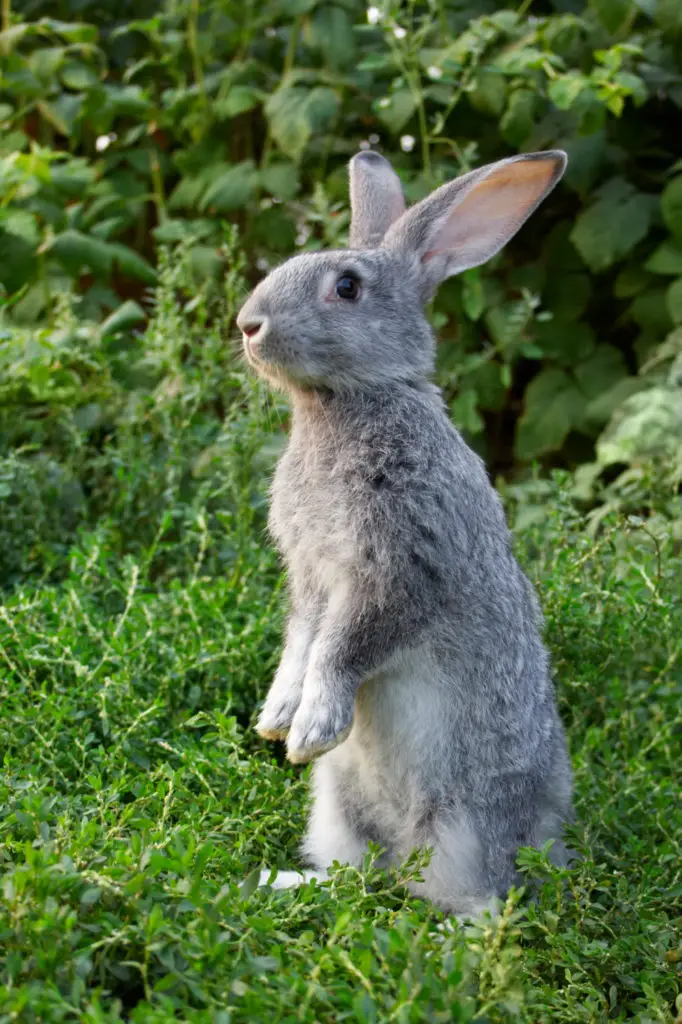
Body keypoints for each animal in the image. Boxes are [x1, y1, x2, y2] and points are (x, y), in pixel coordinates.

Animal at [236, 146, 569, 921]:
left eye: (347, 288)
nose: (247, 325)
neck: (345, 402)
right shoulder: (311, 580)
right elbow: (301, 644)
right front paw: (278, 718)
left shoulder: (399, 572)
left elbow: (343, 649)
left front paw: (312, 730)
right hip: (336, 808)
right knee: (354, 877)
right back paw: (278, 884)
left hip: (465, 826)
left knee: (481, 905)